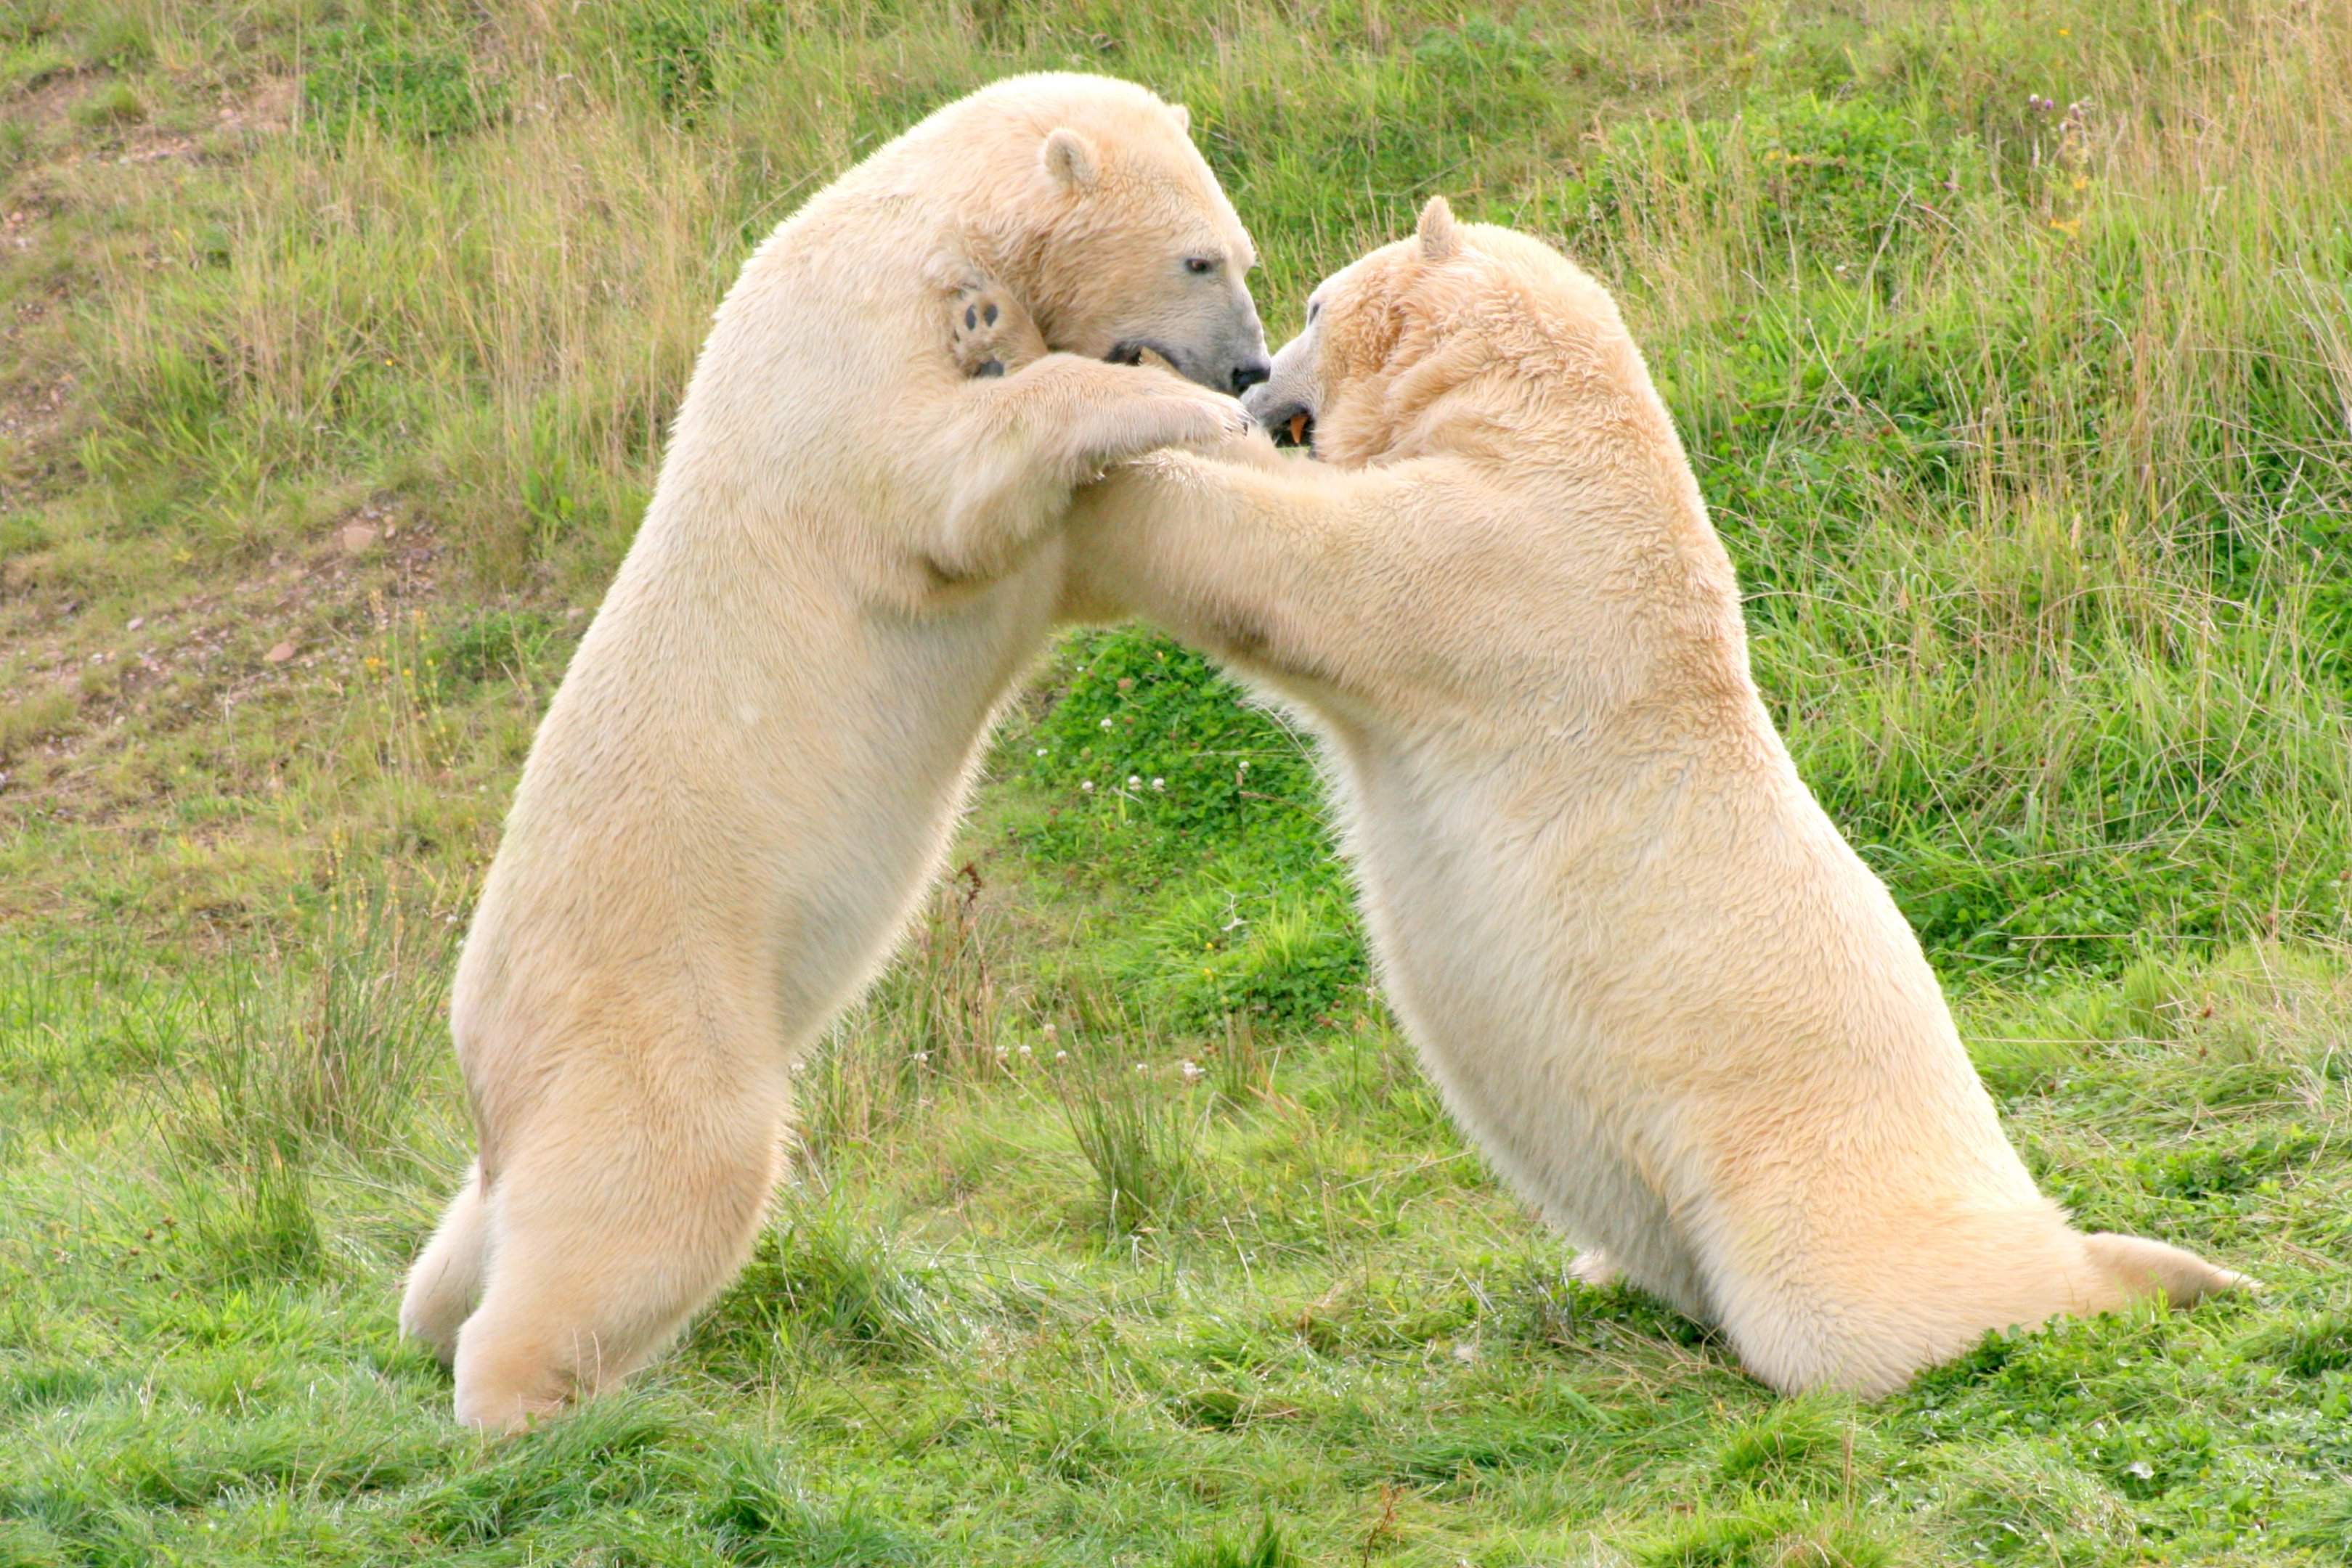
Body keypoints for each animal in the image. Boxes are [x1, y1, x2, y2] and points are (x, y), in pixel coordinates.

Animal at [398, 72, 1271, 1433]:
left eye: (1240, 255)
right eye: (1198, 257)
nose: (1248, 361)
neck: (934, 229)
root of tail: (487, 1063)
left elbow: (1061, 550)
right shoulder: (840, 356)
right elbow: (942, 475)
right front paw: (1163, 399)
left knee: (481, 1234)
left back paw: (436, 1317)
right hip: (654, 1006)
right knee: (659, 1185)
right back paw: (535, 1409)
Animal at [950, 197, 2245, 1396]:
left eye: (1314, 302)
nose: (1260, 378)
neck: (1567, 433)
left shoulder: (1506, 560)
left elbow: (1296, 565)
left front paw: (1050, 392)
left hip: (1815, 1188)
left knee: (1879, 1310)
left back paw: (2159, 1277)